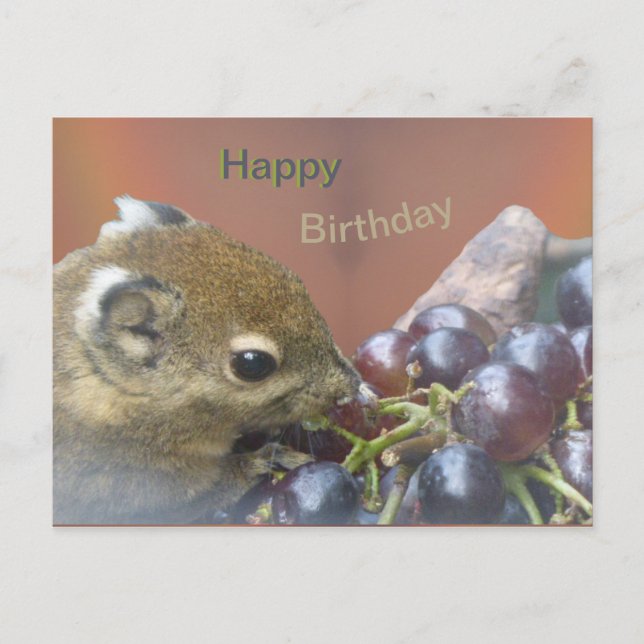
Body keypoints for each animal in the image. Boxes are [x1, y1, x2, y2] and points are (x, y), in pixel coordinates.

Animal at [54, 196, 361, 524]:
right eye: (252, 363)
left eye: (296, 281)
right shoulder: (133, 491)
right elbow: (206, 492)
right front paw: (267, 459)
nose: (351, 386)